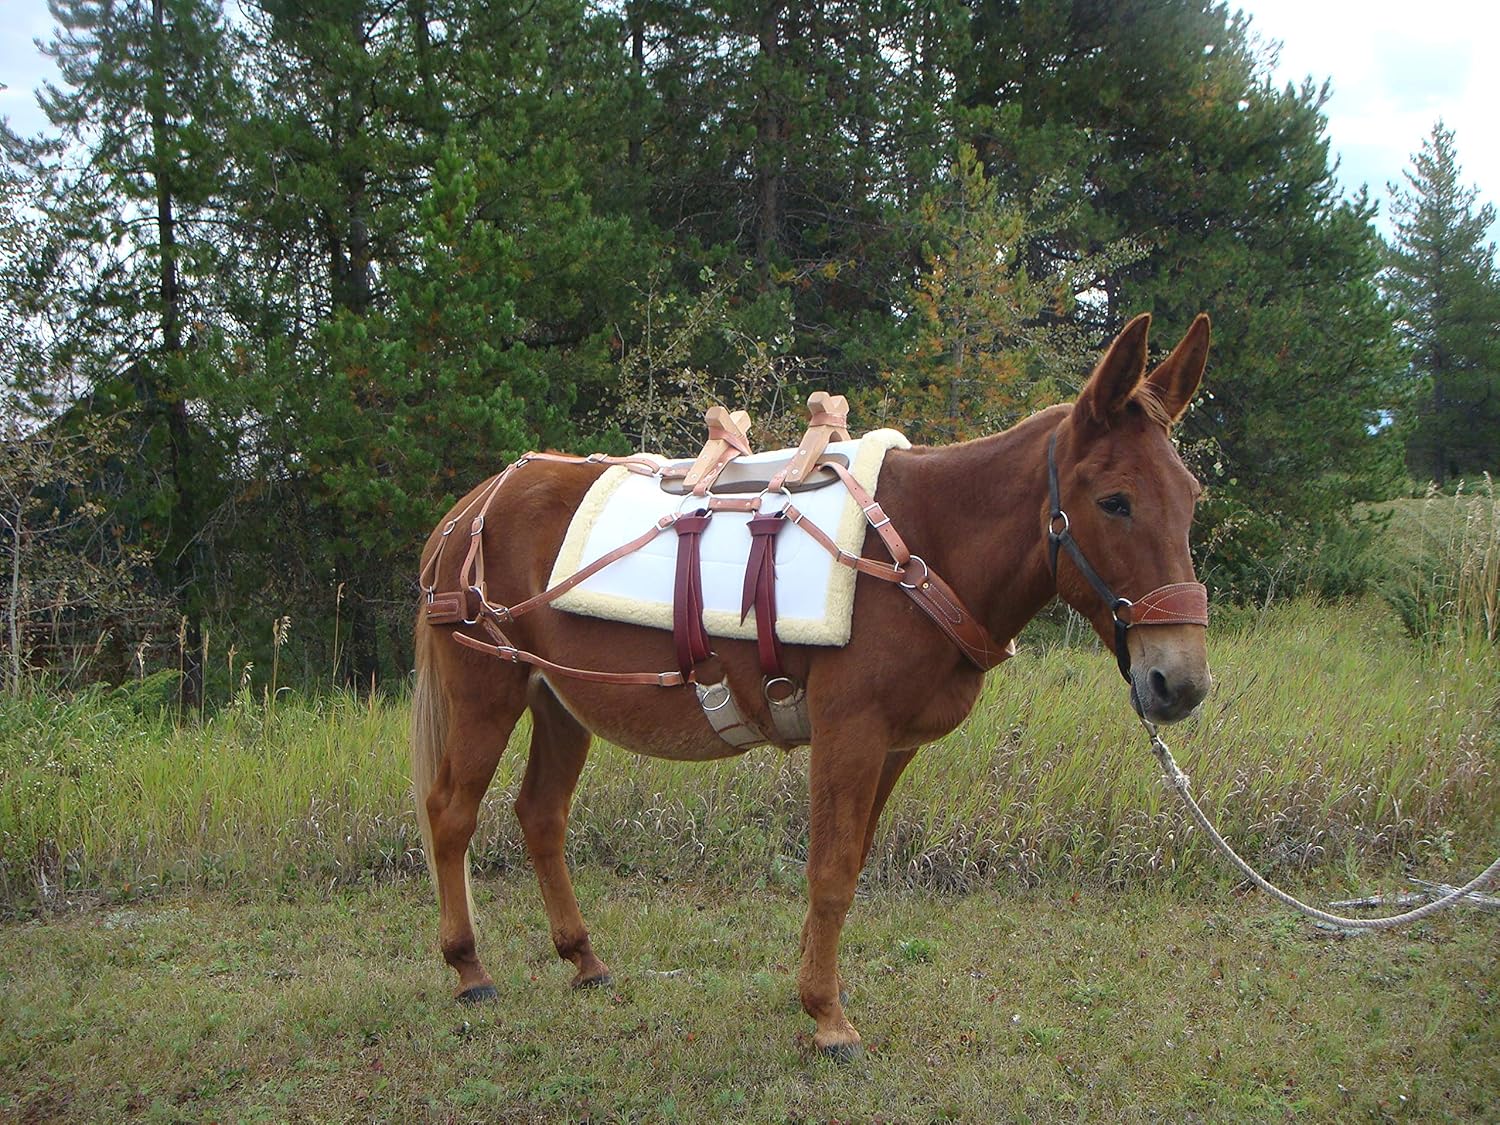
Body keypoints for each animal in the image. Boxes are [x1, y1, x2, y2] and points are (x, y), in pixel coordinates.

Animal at [410, 312, 1212, 1057]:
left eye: (1191, 495)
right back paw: (469, 968)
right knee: (451, 813)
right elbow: (829, 871)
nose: (1180, 680)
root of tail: (468, 510)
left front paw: (811, 991)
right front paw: (828, 1018)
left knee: (541, 814)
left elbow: (849, 863)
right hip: (488, 692)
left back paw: (584, 959)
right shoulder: (849, 731)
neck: (919, 549)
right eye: (1114, 500)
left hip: (560, 702)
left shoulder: (892, 746)